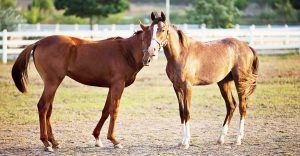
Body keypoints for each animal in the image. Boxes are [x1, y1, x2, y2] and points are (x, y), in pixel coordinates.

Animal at [10, 22, 158, 152]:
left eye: (160, 33)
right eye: (146, 37)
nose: (149, 55)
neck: (126, 52)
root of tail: (38, 42)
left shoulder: (111, 87)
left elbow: (106, 111)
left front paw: (97, 138)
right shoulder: (118, 85)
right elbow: (114, 110)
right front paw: (114, 141)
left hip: (52, 84)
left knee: (48, 109)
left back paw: (54, 142)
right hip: (52, 82)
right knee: (43, 106)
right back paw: (46, 143)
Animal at [145, 12, 258, 149]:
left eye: (162, 29)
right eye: (151, 30)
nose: (151, 51)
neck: (181, 54)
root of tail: (248, 47)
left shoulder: (187, 87)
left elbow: (187, 112)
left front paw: (186, 142)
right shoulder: (177, 87)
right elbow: (181, 112)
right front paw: (181, 141)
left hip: (240, 82)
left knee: (243, 106)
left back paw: (238, 139)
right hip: (224, 83)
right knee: (231, 106)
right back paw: (221, 139)